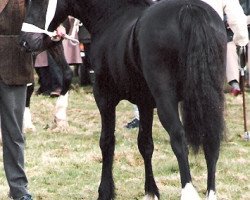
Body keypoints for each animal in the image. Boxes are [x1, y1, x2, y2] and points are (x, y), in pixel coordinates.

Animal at [20, 0, 227, 199]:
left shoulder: (104, 98)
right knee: (212, 140)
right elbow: (145, 144)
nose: (25, 42)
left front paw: (105, 192)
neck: (112, 18)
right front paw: (151, 192)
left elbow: (107, 141)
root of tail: (189, 9)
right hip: (210, 98)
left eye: (39, 1)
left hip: (166, 100)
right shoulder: (144, 103)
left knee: (178, 138)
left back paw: (188, 192)